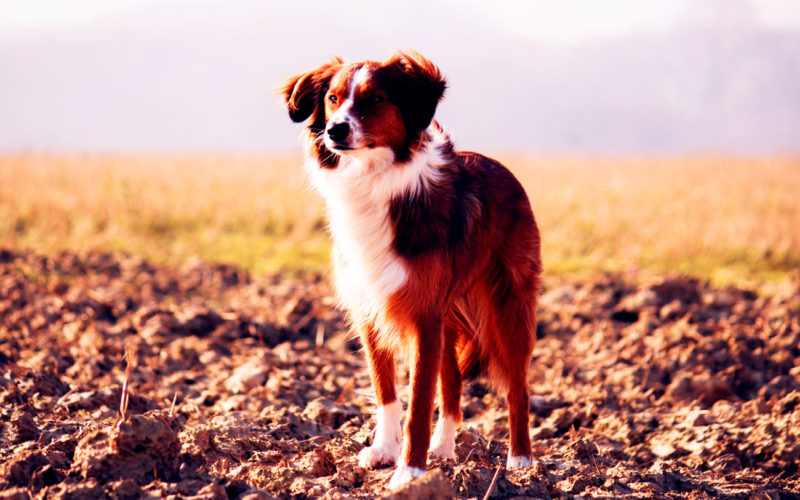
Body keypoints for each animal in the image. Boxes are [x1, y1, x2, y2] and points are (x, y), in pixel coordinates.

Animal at [282, 50, 544, 488]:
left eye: (374, 100)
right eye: (333, 98)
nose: (335, 131)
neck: (373, 178)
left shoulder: (423, 314)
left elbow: (419, 399)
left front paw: (410, 472)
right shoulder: (372, 309)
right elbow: (386, 393)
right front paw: (384, 452)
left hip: (508, 306)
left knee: (517, 387)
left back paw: (521, 461)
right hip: (449, 316)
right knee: (452, 383)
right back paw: (444, 449)